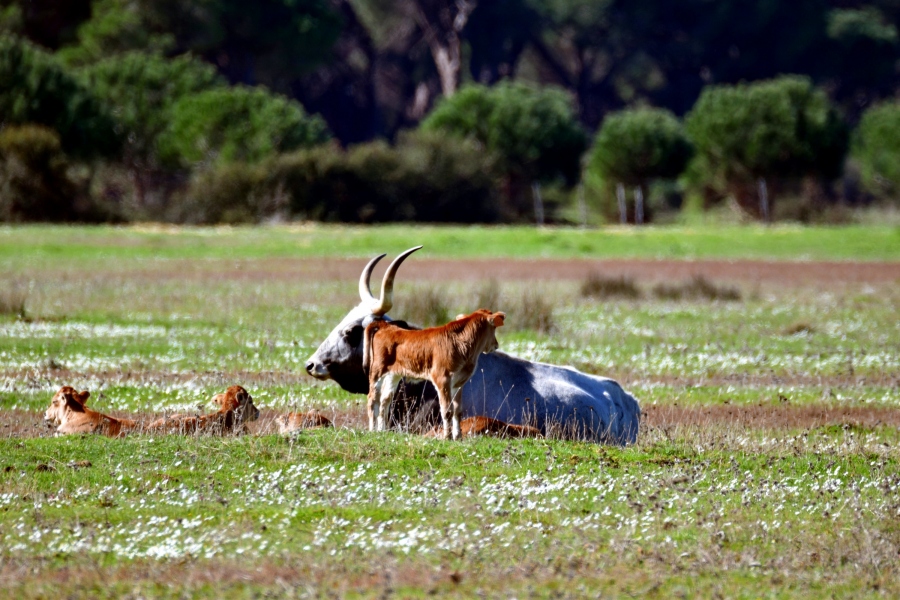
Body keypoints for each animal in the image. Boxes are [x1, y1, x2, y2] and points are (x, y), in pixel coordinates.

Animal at [366, 310, 506, 440]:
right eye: (494, 328)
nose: (496, 345)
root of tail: (387, 326)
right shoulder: (442, 379)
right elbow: (447, 410)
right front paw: (447, 437)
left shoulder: (458, 383)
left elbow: (457, 411)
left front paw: (458, 437)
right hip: (377, 370)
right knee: (372, 399)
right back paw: (373, 430)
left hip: (393, 374)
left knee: (385, 400)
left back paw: (382, 431)